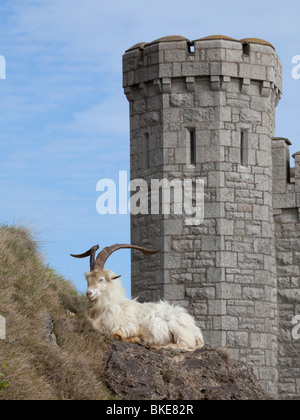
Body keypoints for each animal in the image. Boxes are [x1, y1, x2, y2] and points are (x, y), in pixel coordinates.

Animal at [71, 244, 205, 350]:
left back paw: (154, 345)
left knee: (186, 346)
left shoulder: (127, 327)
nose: (89, 293)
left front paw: (137, 339)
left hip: (180, 332)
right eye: (88, 280)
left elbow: (114, 335)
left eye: (101, 279)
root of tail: (196, 331)